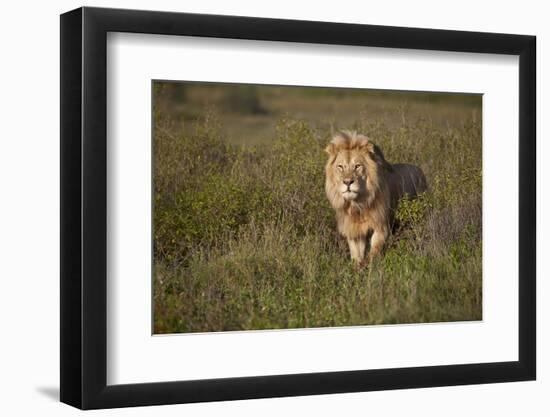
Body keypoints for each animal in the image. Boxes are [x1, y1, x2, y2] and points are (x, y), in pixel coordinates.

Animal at [326, 130, 430, 264]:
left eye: (357, 166)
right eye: (340, 167)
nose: (348, 182)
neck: (358, 204)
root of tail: (420, 170)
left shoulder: (381, 226)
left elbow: (374, 253)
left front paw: (370, 266)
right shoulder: (355, 231)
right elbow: (356, 256)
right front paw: (358, 267)